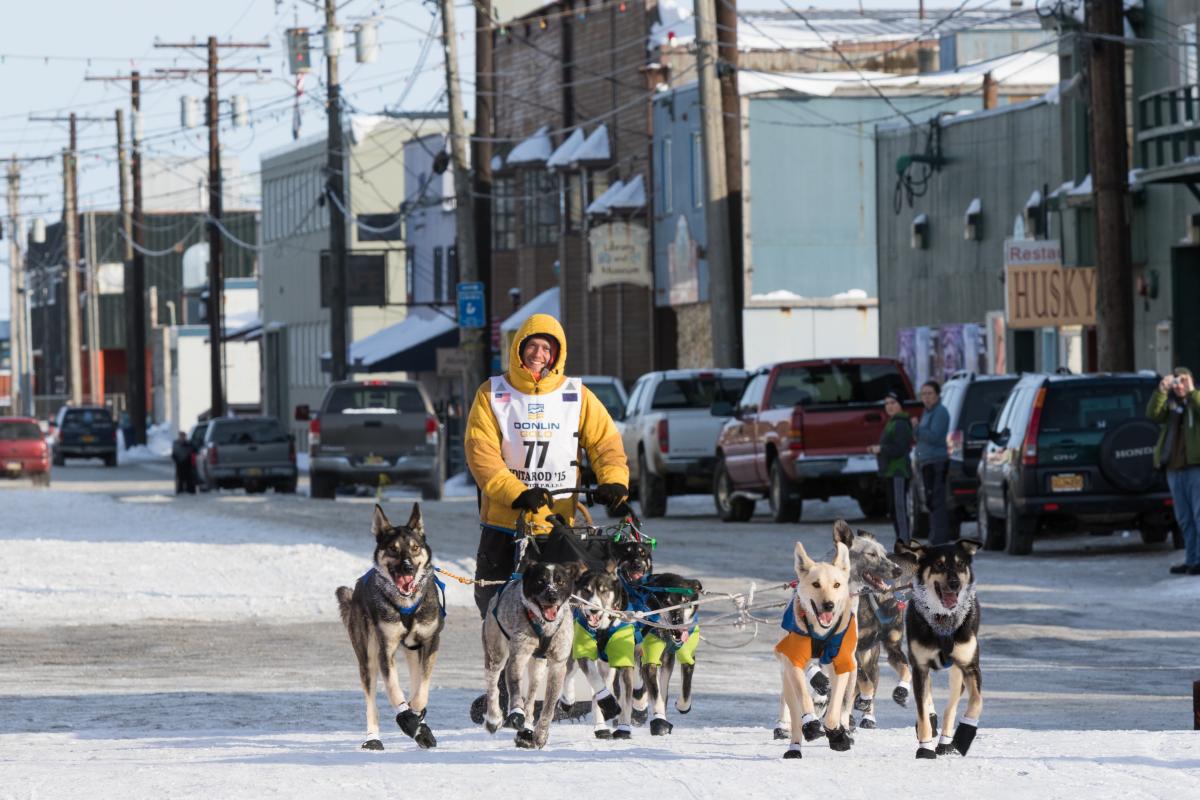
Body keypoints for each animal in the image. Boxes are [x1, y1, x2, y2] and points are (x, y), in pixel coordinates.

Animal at [336, 506, 444, 753]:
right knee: (371, 701)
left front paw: (417, 717)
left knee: (415, 680)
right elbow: (394, 690)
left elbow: (422, 690)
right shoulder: (385, 649)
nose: (408, 567)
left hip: (413, 651)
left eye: (415, 548)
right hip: (367, 657)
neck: (406, 602)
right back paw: (373, 738)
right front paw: (407, 718)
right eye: (393, 549)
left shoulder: (430, 642)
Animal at [772, 537, 859, 758]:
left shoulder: (841, 665)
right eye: (816, 584)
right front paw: (811, 724)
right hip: (787, 677)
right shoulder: (793, 664)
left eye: (837, 584)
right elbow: (804, 698)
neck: (820, 634)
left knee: (843, 707)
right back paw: (795, 745)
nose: (828, 605)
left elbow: (833, 712)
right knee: (795, 713)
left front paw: (836, 734)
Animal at [892, 537, 984, 758]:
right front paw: (925, 747)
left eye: (961, 564)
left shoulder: (969, 666)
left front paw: (964, 734)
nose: (954, 583)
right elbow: (922, 710)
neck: (943, 619)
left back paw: (946, 742)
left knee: (951, 706)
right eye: (939, 565)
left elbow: (977, 701)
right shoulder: (920, 667)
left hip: (957, 672)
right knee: (928, 699)